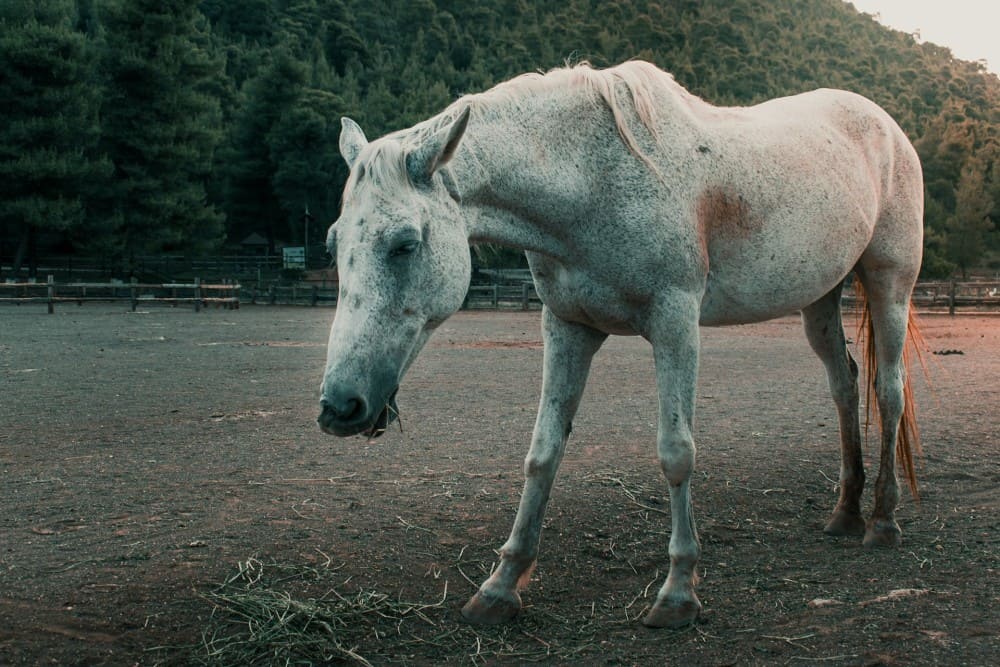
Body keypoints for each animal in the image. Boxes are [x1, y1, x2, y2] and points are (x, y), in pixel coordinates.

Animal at [317, 60, 924, 628]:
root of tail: (885, 125)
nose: (339, 406)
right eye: (331, 242)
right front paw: (501, 586)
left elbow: (676, 453)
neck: (591, 179)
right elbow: (543, 453)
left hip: (889, 282)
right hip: (820, 299)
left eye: (404, 244)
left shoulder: (675, 323)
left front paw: (678, 593)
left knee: (887, 391)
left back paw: (883, 521)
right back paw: (845, 511)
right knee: (844, 386)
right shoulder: (568, 328)